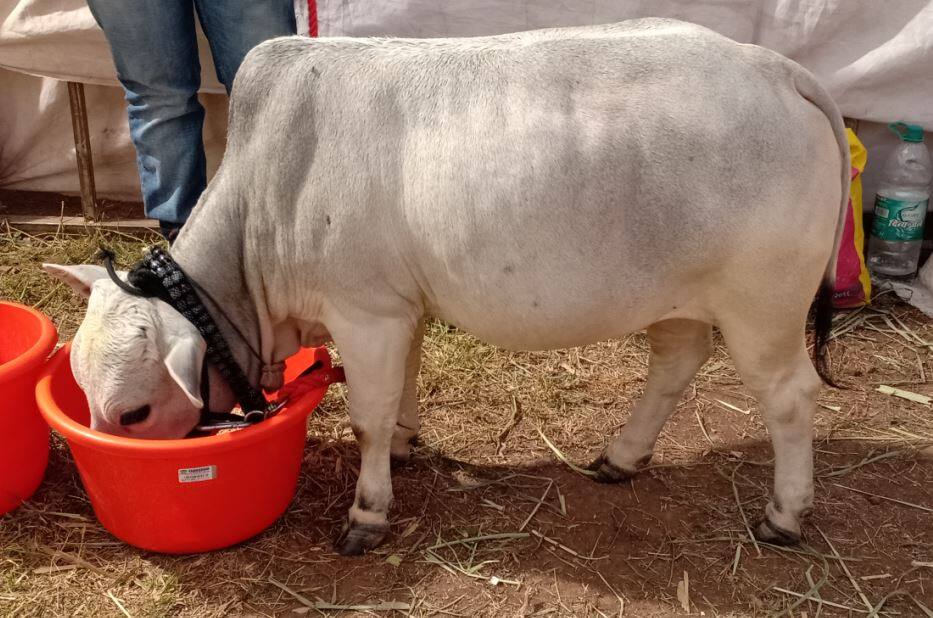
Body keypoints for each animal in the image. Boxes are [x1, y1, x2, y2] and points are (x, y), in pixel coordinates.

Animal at [44, 18, 849, 555]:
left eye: (135, 411)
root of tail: (774, 68)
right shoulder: (400, 308)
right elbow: (402, 383)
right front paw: (404, 443)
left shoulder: (365, 310)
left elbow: (365, 417)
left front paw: (367, 513)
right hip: (676, 293)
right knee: (676, 361)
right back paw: (620, 457)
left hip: (762, 304)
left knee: (788, 396)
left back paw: (784, 514)